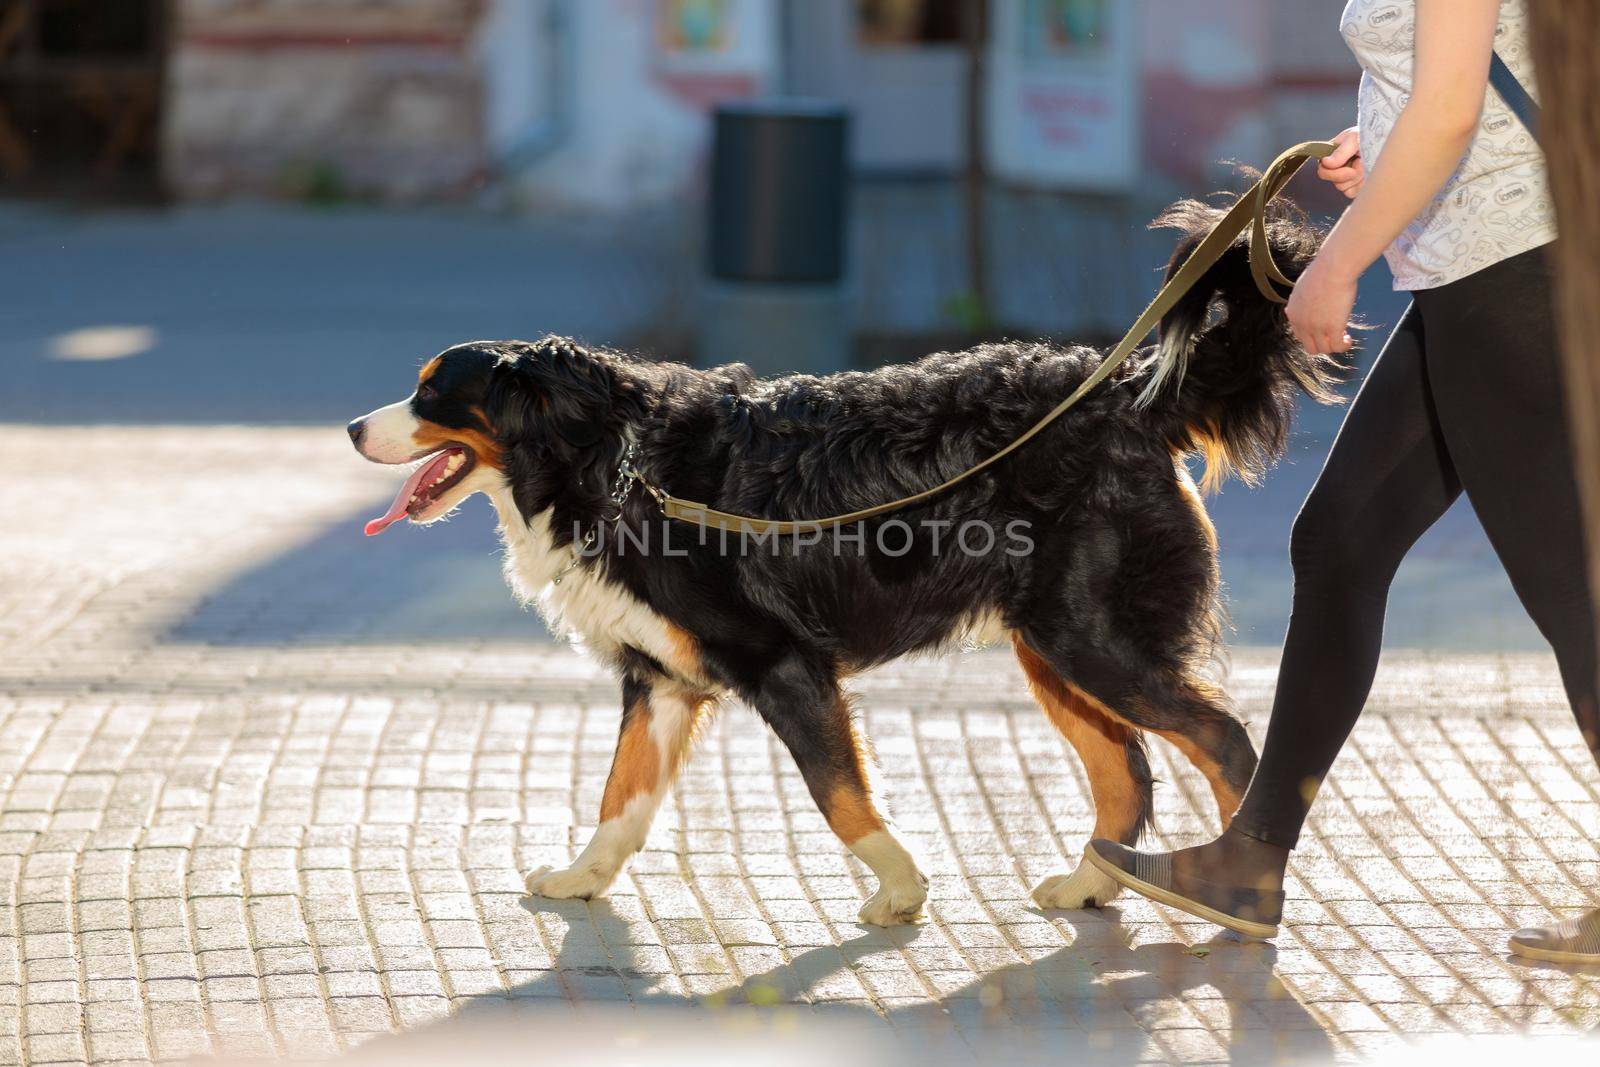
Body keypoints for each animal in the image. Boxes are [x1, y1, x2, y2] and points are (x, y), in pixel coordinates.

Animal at [347, 198, 1337, 927]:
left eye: (433, 392)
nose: (354, 426)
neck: (613, 464)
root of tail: (1126, 396)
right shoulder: (660, 679)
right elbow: (619, 797)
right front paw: (583, 878)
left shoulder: (785, 662)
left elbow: (840, 796)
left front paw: (899, 887)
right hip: (1052, 648)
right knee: (1125, 771)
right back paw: (1091, 883)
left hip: (1092, 639)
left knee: (1223, 741)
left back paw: (1235, 890)